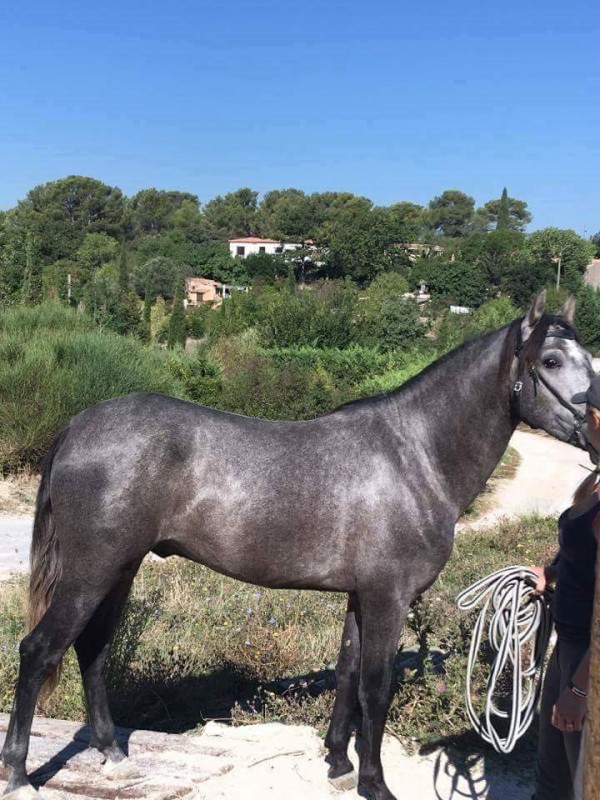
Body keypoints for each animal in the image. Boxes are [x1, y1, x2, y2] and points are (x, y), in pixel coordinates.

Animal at [1, 290, 596, 800]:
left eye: (588, 357)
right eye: (549, 361)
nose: (594, 426)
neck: (416, 455)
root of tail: (77, 425)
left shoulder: (362, 595)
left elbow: (348, 674)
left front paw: (338, 764)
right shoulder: (389, 597)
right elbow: (375, 688)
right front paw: (374, 783)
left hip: (119, 570)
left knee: (92, 650)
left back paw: (112, 754)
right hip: (93, 571)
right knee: (39, 650)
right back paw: (20, 775)